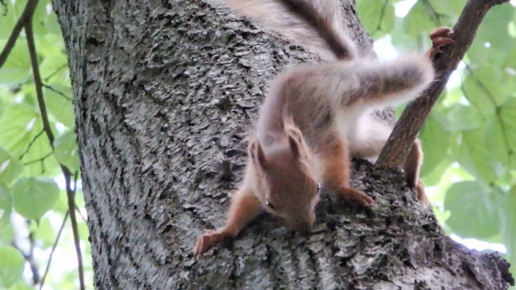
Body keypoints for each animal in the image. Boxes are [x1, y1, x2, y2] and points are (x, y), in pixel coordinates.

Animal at [194, 0, 452, 258]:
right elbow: (242, 205)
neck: (280, 142)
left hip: (368, 83)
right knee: (385, 142)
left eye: (317, 188)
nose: (305, 228)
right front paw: (220, 233)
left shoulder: (326, 141)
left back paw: (433, 50)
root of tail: (342, 64)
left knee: (414, 74)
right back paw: (413, 161)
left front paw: (346, 192)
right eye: (270, 204)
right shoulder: (253, 179)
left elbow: (337, 166)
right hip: (357, 136)